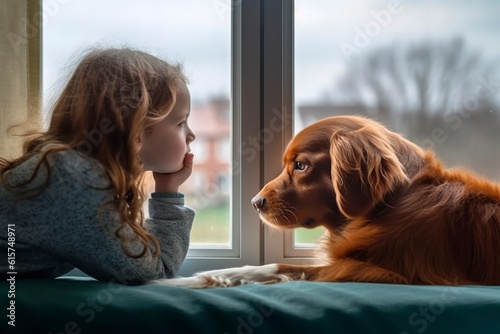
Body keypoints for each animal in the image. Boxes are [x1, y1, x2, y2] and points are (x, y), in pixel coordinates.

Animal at [158, 115, 500, 288]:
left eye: (301, 165)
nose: (255, 202)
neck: (390, 206)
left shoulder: (385, 269)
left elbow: (279, 265)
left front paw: (217, 275)